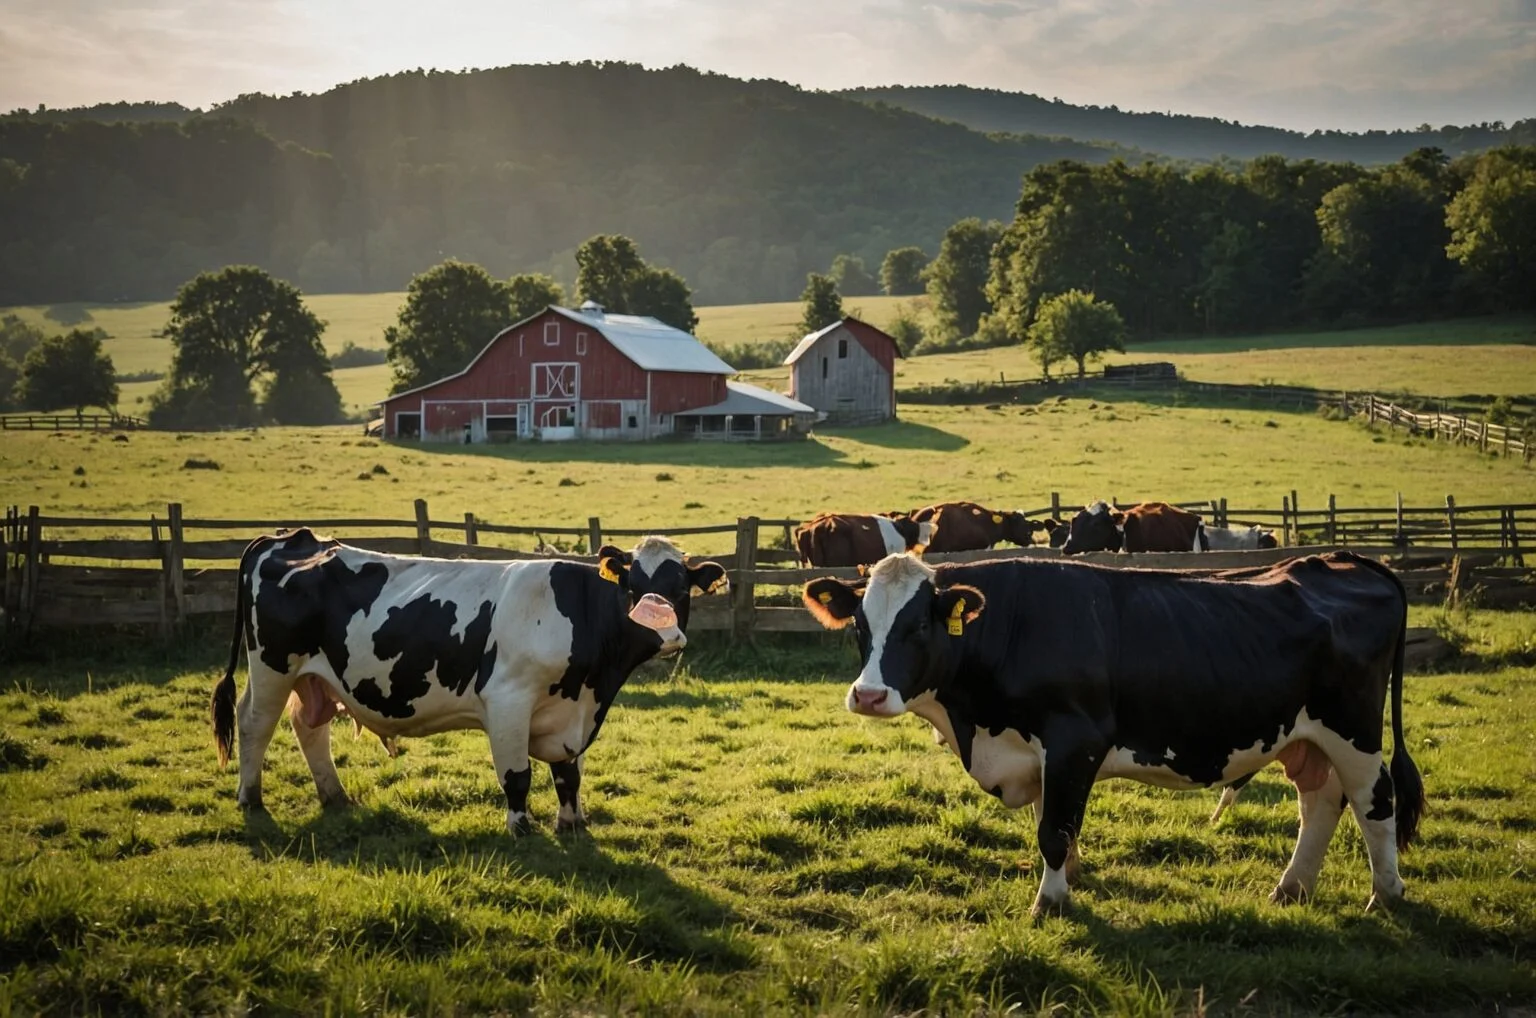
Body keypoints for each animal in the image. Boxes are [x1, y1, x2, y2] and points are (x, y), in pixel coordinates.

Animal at [205, 528, 724, 835]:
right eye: (634, 588)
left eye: (681, 588)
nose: (669, 638)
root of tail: (292, 536)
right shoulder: (509, 700)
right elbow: (518, 775)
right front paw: (521, 827)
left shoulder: (572, 713)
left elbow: (568, 773)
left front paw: (572, 822)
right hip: (273, 667)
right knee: (255, 724)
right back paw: (250, 798)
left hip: (314, 677)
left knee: (310, 728)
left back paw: (335, 796)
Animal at [811, 549, 1419, 915]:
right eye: (860, 625)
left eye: (918, 625)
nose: (868, 695)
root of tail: (1339, 559)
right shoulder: (1037, 754)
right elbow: (1051, 819)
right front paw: (1068, 881)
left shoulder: (1075, 739)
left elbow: (1054, 830)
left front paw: (1050, 902)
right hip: (1306, 737)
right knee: (1321, 802)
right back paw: (1292, 888)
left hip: (1354, 730)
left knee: (1374, 803)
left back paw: (1385, 894)